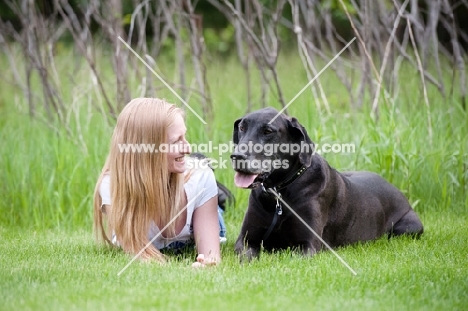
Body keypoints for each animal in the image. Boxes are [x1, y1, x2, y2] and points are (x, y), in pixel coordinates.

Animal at [231, 107, 424, 260]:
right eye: (242, 127)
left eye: (268, 131)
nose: (236, 156)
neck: (278, 192)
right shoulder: (246, 240)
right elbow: (246, 255)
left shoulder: (307, 245)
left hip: (409, 227)